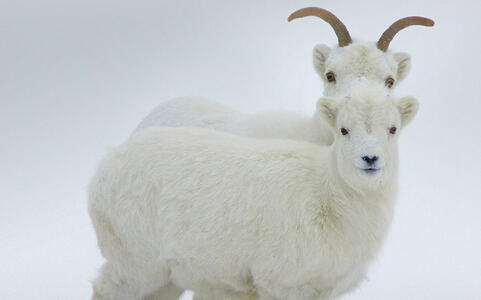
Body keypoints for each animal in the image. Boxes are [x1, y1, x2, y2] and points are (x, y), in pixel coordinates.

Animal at [89, 87, 416, 300]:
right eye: (344, 130)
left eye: (393, 129)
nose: (370, 159)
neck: (327, 196)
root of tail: (105, 165)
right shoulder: (280, 283)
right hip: (134, 263)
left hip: (164, 276)